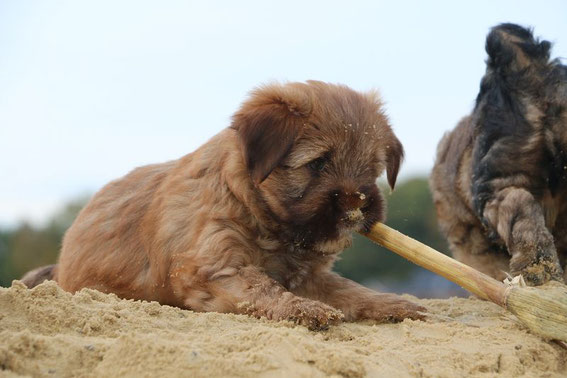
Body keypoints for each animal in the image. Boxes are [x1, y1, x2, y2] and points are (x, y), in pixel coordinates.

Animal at [25, 81, 426, 330]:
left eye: (372, 170)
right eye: (318, 163)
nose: (358, 204)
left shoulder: (310, 275)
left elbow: (348, 289)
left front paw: (391, 303)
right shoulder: (212, 266)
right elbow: (261, 288)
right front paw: (301, 308)